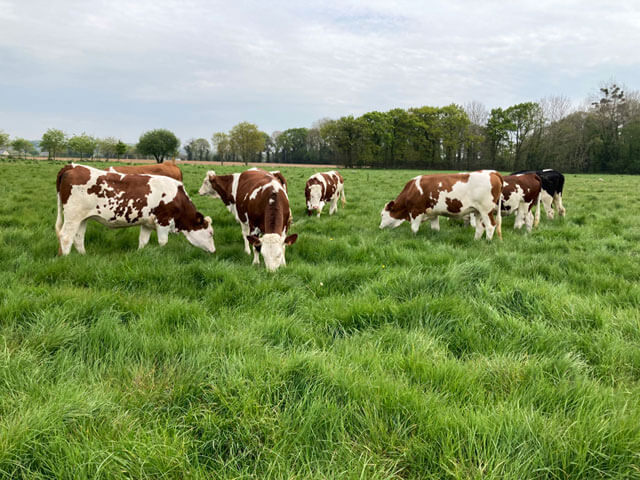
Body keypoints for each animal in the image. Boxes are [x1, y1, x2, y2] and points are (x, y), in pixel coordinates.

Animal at [55, 164, 214, 255]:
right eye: (211, 233)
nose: (214, 250)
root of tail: (73, 166)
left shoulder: (147, 223)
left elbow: (143, 241)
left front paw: (140, 254)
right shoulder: (163, 221)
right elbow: (163, 242)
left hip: (82, 218)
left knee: (78, 237)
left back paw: (83, 255)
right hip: (72, 216)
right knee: (66, 236)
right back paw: (66, 258)